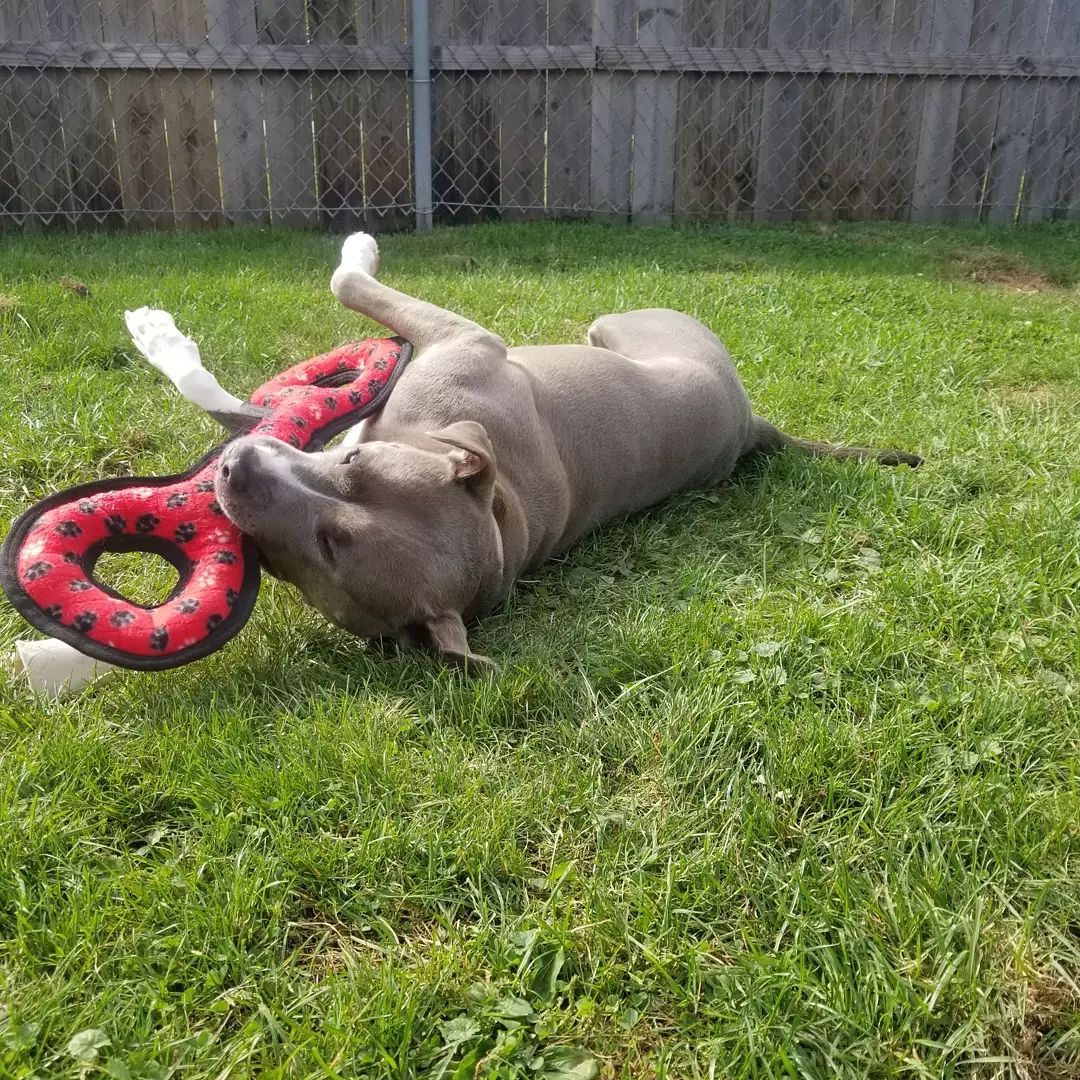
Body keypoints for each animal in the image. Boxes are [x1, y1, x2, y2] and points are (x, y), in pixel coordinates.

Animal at [124, 232, 920, 669]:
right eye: (350, 467)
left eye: (328, 548)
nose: (234, 470)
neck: (499, 514)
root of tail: (753, 421)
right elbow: (247, 408)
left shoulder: (459, 339)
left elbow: (346, 278)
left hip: (626, 319)